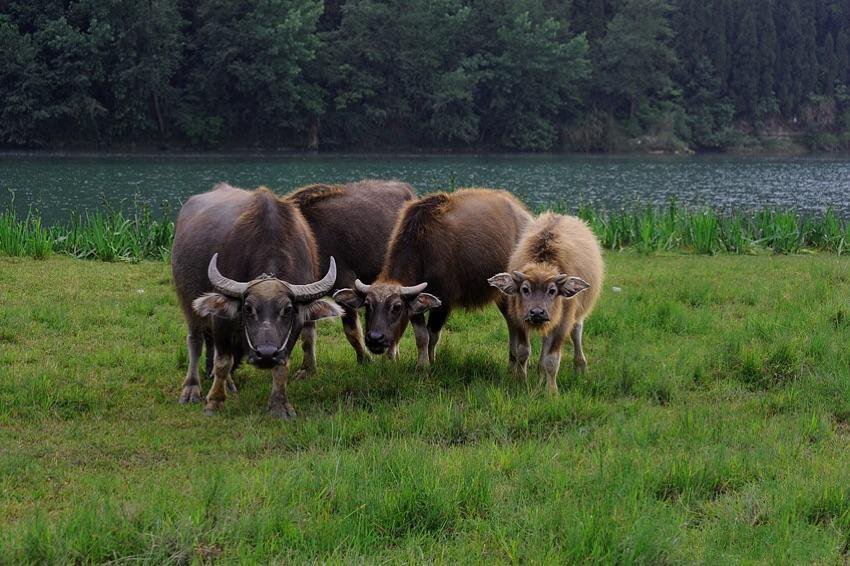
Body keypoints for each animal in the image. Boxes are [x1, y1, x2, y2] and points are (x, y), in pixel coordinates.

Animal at [172, 184, 342, 420]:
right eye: (248, 308)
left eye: (287, 310)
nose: (266, 354)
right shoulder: (221, 319)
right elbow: (223, 361)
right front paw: (214, 402)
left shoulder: (294, 329)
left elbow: (283, 365)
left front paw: (279, 405)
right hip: (187, 301)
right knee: (196, 342)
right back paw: (192, 388)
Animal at [332, 189, 528, 370]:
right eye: (367, 305)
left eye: (396, 307)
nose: (375, 339)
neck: (423, 247)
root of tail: (523, 213)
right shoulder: (416, 303)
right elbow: (421, 336)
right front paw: (422, 364)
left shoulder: (444, 303)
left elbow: (433, 335)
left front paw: (430, 363)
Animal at [484, 213, 604, 394]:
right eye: (525, 289)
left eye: (552, 291)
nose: (537, 312)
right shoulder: (518, 320)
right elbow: (523, 351)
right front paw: (521, 380)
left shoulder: (562, 324)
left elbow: (552, 360)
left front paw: (552, 391)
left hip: (577, 315)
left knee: (576, 331)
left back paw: (580, 366)